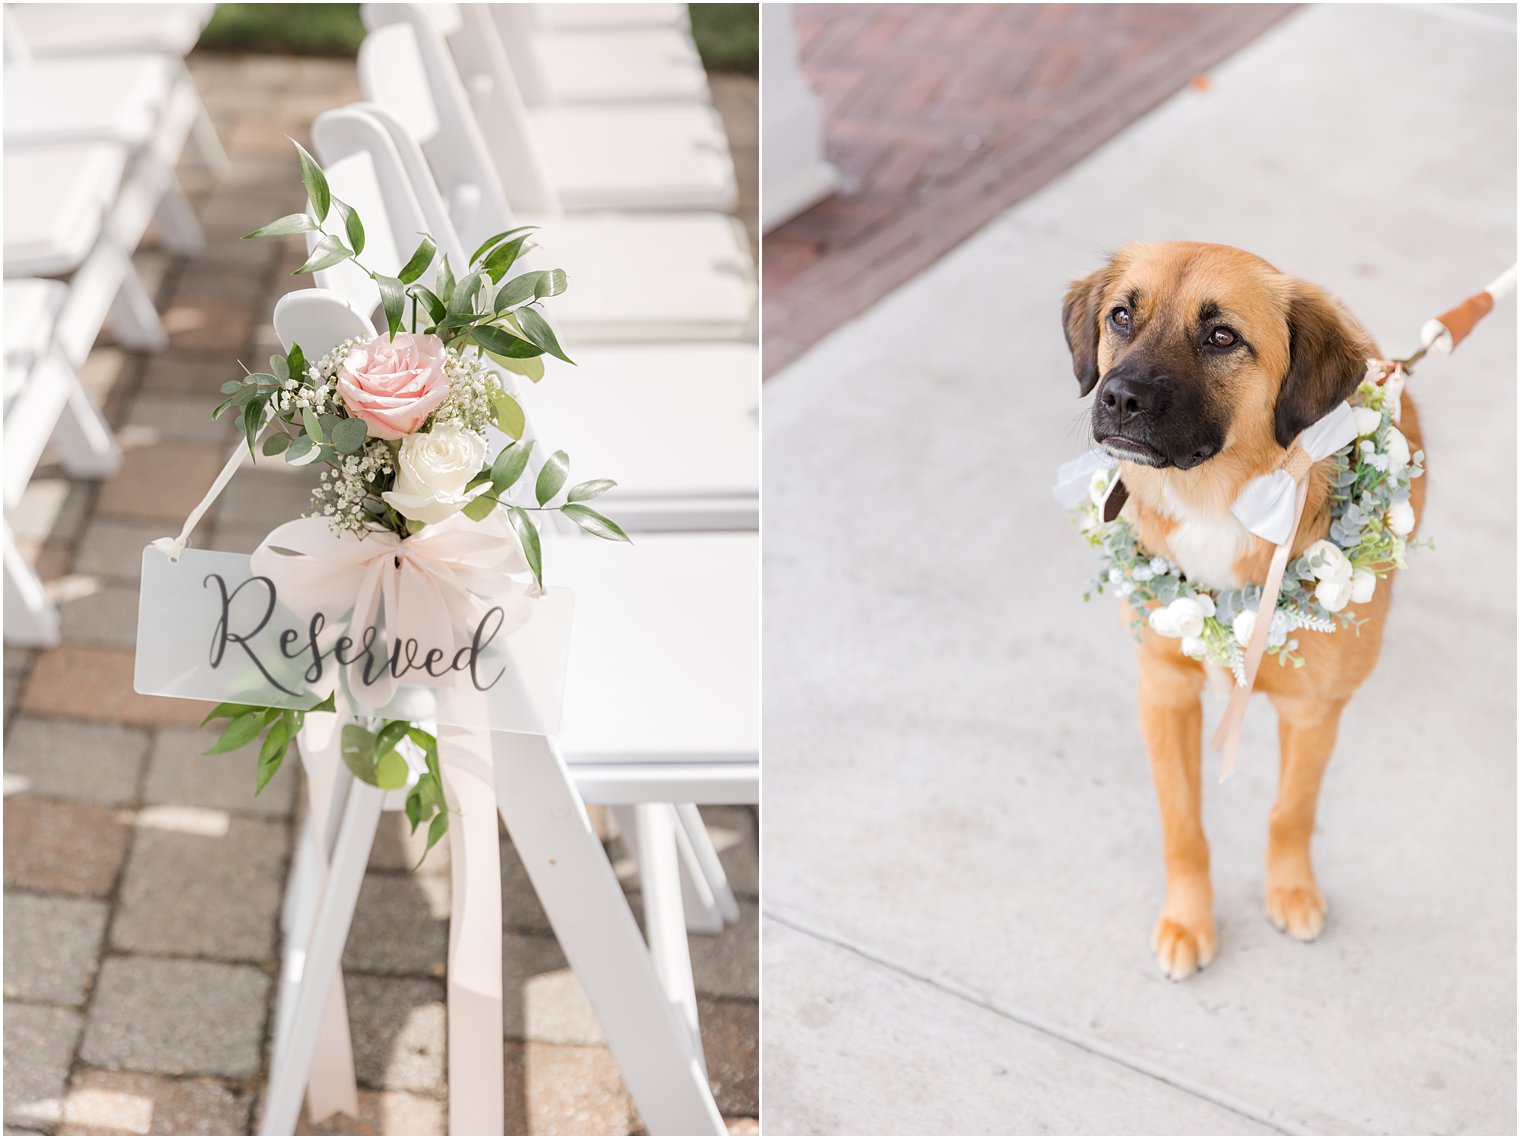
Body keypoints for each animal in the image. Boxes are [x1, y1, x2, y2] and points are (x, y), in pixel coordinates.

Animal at [1057, 244, 1422, 979]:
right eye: (1121, 316)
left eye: (1222, 337)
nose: (1118, 397)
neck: (1216, 500)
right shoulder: (1164, 691)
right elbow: (1182, 823)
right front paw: (1187, 920)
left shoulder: (1312, 712)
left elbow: (1291, 810)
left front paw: (1291, 891)